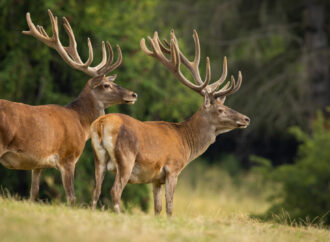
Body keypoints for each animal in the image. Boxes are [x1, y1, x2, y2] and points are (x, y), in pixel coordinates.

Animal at [0, 10, 137, 205]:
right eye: (106, 85)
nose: (133, 95)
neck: (80, 123)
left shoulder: (38, 163)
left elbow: (33, 193)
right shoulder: (68, 157)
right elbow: (71, 197)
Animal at [89, 29, 249, 215]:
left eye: (225, 105)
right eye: (220, 109)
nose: (246, 118)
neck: (186, 142)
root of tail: (101, 124)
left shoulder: (156, 179)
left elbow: (157, 208)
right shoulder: (172, 169)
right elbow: (170, 207)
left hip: (98, 158)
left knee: (96, 190)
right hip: (126, 157)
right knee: (115, 190)